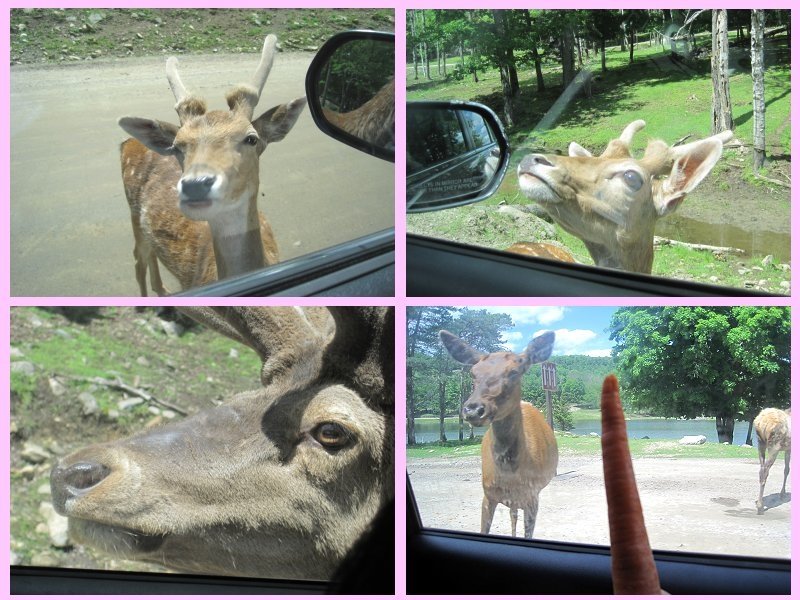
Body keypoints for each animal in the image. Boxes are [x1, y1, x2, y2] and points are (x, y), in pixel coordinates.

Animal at [117, 35, 304, 296]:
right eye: (177, 146)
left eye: (251, 138)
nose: (196, 184)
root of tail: (127, 142)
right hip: (133, 214)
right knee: (138, 258)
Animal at [438, 330, 556, 536]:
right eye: (473, 373)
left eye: (514, 372)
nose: (473, 409)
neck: (511, 477)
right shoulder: (487, 494)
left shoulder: (533, 495)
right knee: (513, 514)